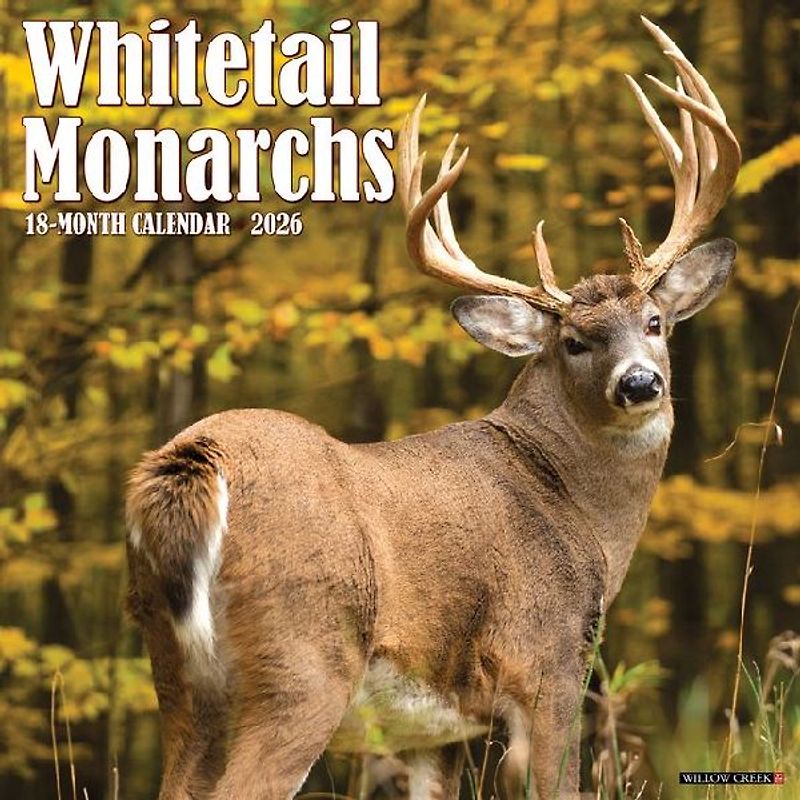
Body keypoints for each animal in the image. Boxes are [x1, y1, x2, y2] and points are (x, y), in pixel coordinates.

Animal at [125, 17, 741, 800]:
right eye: (574, 341)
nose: (639, 384)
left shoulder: (433, 731)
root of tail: (196, 464)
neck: (578, 509)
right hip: (304, 654)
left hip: (174, 674)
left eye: (656, 323)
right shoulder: (549, 660)